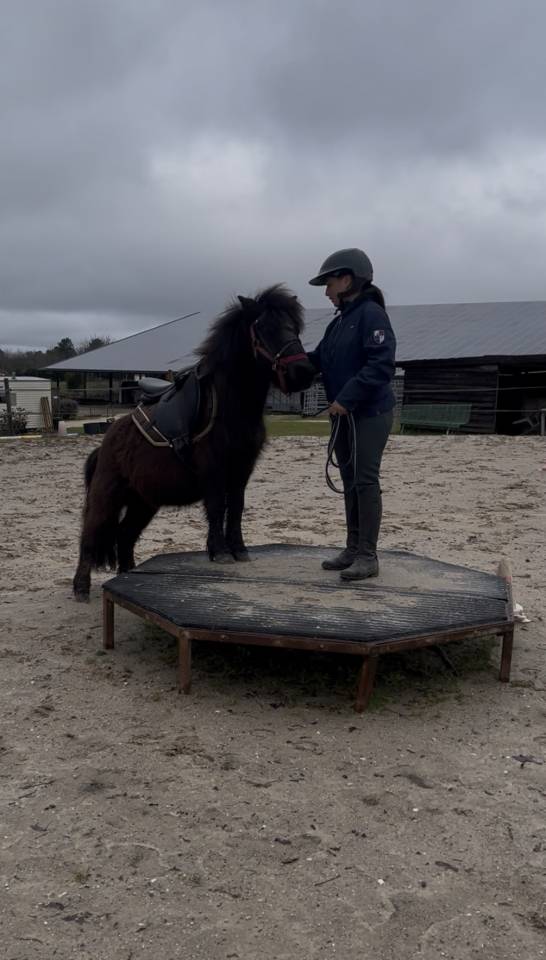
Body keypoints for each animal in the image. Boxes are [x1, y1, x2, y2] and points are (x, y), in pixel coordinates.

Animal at [73, 284, 316, 600]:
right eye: (263, 328)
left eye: (294, 327)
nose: (304, 372)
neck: (231, 407)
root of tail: (106, 442)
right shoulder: (213, 468)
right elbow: (216, 507)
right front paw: (221, 552)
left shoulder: (242, 470)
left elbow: (235, 507)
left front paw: (238, 550)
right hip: (108, 495)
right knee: (90, 535)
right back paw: (81, 587)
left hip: (143, 502)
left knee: (125, 536)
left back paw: (128, 574)